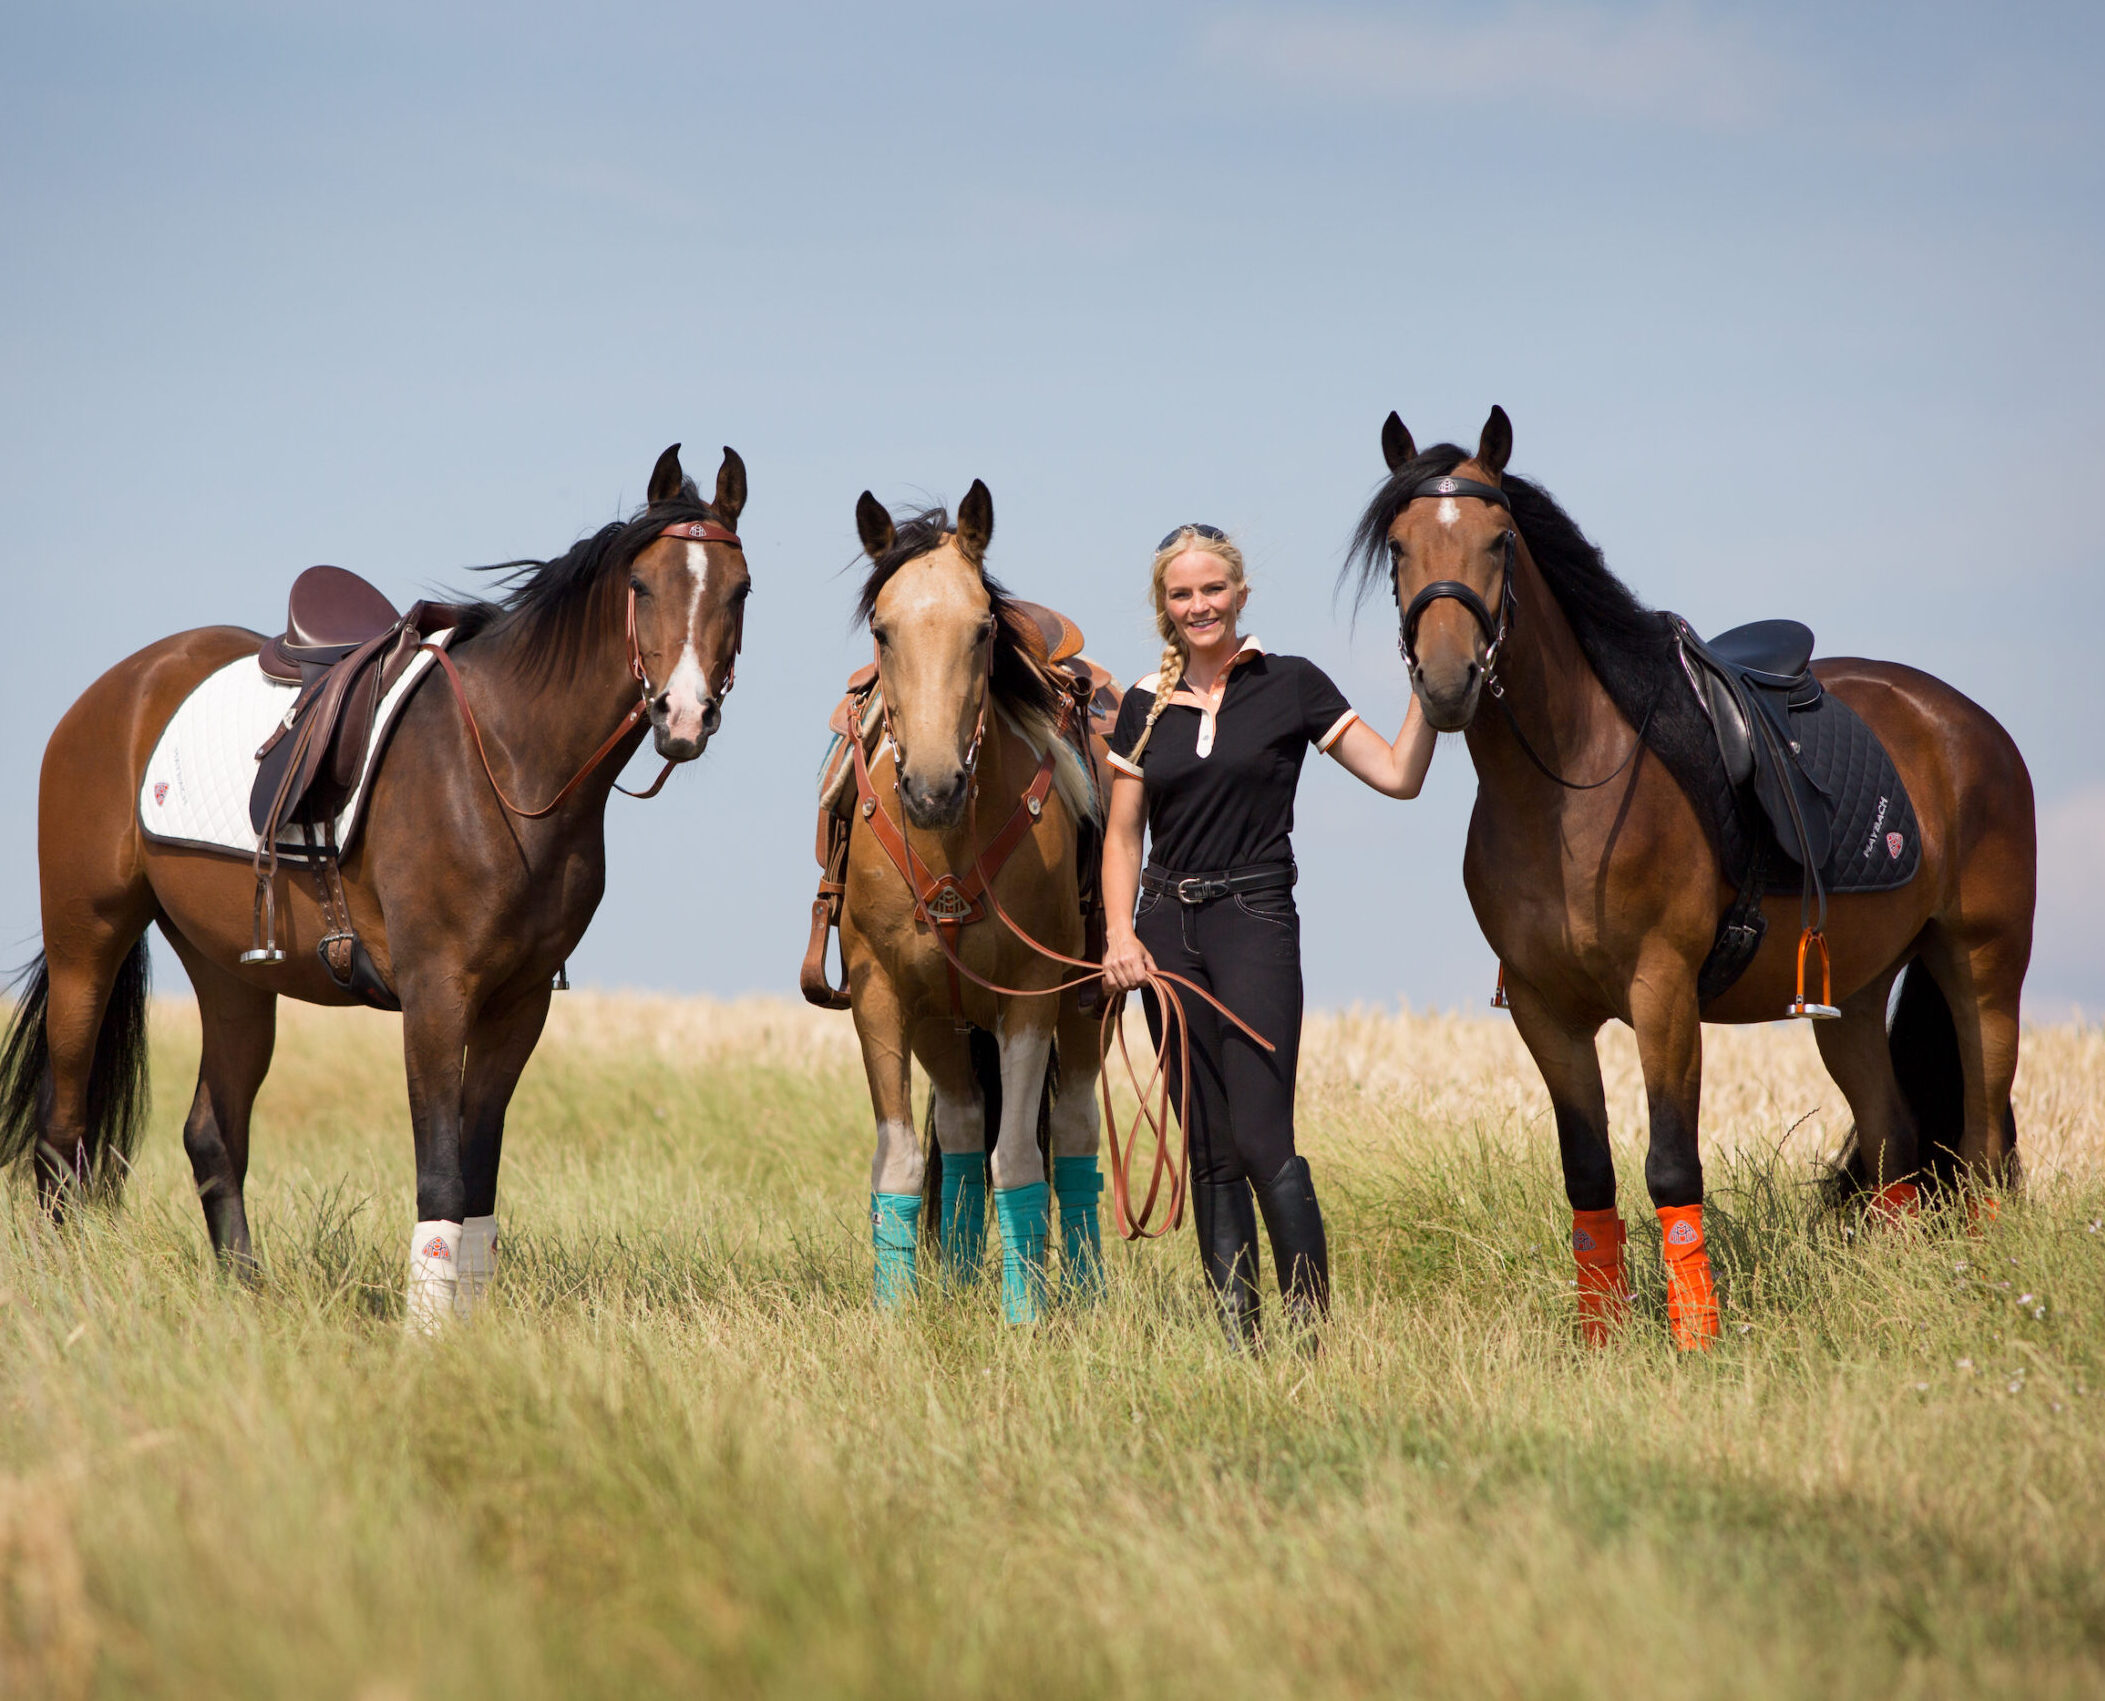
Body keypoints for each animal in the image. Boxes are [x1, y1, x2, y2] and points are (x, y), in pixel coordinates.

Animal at [0, 444, 757, 1322]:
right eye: (641, 585)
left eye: (739, 589)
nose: (683, 716)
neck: (506, 760)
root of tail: (121, 687)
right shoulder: (435, 995)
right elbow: (442, 1175)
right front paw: (426, 1332)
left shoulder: (517, 1005)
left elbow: (479, 1177)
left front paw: (468, 1322)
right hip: (87, 939)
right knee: (62, 1132)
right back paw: (65, 1290)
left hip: (229, 974)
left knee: (213, 1133)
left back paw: (247, 1294)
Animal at [829, 484, 1111, 1322]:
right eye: (881, 629)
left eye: (983, 628)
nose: (931, 787)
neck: (947, 849)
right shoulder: (880, 995)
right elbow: (898, 1162)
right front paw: (894, 1317)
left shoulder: (1030, 996)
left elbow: (1016, 1159)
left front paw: (1024, 1317)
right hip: (941, 1023)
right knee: (957, 1128)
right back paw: (953, 1277)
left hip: (1085, 1011)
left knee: (1073, 1133)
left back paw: (1082, 1287)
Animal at [1355, 406, 2029, 1347]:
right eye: (1398, 544)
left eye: (1499, 540)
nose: (1449, 681)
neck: (1567, 785)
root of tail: (1966, 723)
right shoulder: (1544, 1012)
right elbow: (1587, 1175)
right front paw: (1599, 1339)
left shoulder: (1662, 992)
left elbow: (1671, 1167)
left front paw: (1694, 1341)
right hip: (1853, 997)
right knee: (1894, 1138)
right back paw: (1901, 1286)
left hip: (1982, 968)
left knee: (1980, 1141)